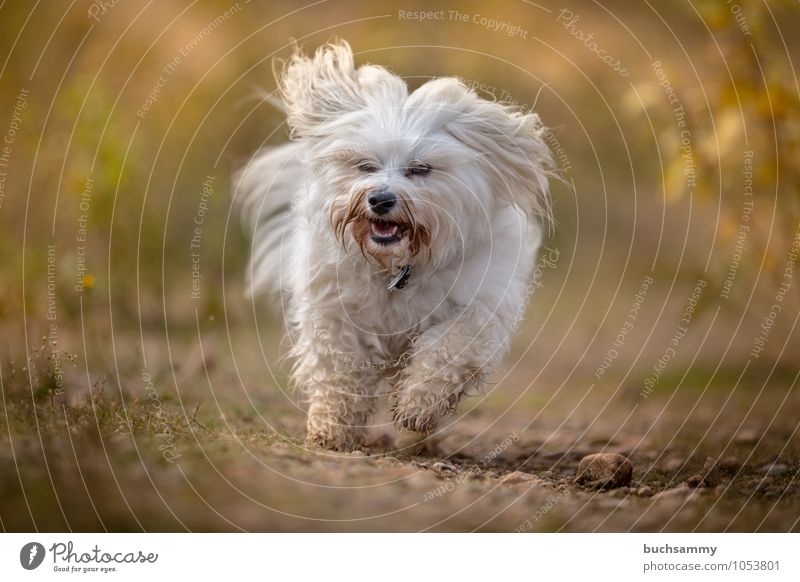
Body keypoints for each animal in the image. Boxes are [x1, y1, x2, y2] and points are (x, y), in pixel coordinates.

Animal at [234, 41, 552, 454]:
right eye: (365, 165)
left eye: (420, 169)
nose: (380, 199)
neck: (397, 267)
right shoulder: (334, 312)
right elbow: (339, 371)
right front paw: (331, 429)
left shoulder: (479, 307)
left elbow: (448, 350)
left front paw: (417, 405)